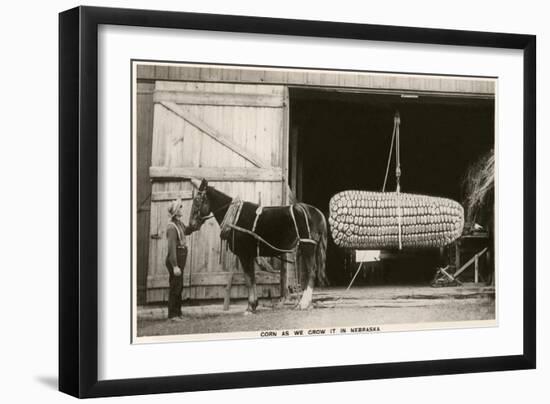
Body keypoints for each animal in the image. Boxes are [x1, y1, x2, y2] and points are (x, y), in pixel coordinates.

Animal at [190, 179, 328, 312]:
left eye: (197, 201)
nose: (190, 226)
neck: (235, 217)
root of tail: (317, 213)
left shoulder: (244, 254)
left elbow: (249, 278)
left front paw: (250, 306)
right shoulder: (249, 255)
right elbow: (252, 278)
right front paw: (254, 304)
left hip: (308, 246)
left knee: (312, 272)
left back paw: (303, 303)